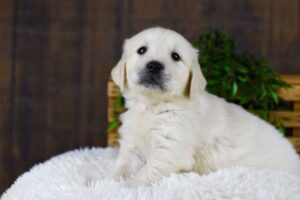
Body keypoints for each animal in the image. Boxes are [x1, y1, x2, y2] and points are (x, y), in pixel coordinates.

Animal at [110, 26, 300, 186]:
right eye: (141, 50)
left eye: (176, 56)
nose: (154, 66)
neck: (152, 106)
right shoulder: (131, 146)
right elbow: (121, 169)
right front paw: (112, 183)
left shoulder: (170, 151)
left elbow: (143, 174)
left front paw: (127, 188)